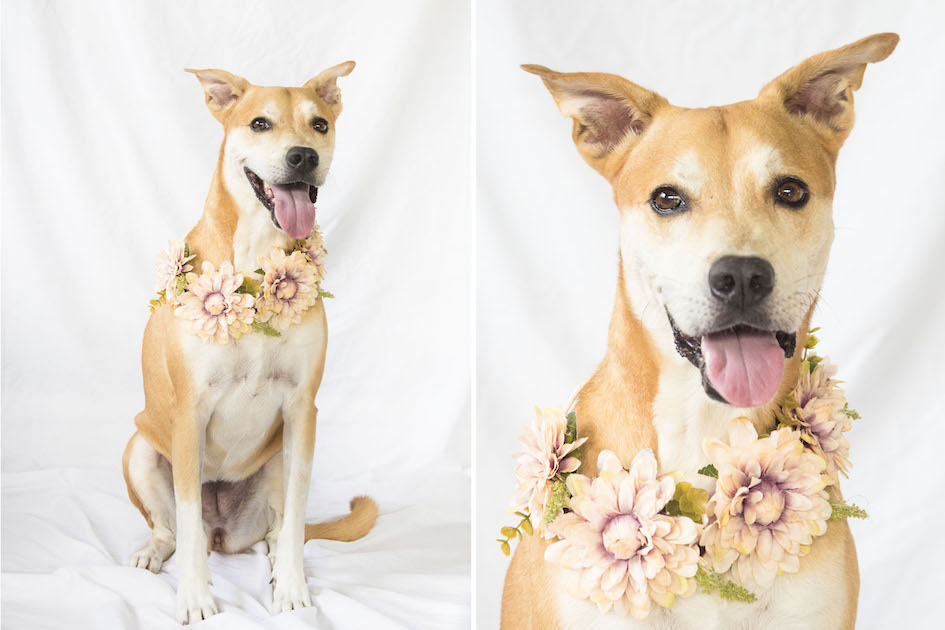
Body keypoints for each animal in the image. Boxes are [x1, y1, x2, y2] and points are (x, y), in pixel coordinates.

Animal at [121, 63, 376, 628]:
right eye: (260, 123)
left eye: (320, 124)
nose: (303, 157)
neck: (259, 261)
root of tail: (226, 536)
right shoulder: (189, 412)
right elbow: (187, 520)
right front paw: (195, 599)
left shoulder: (303, 408)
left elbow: (298, 515)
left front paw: (294, 592)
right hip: (141, 450)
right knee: (175, 531)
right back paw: (155, 550)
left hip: (278, 457)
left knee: (278, 533)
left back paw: (279, 564)